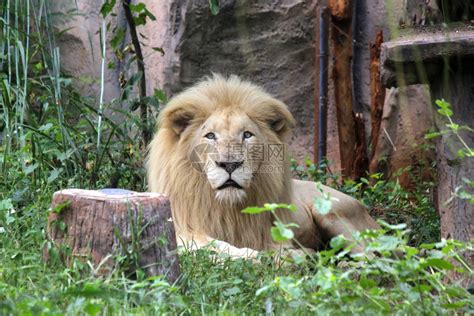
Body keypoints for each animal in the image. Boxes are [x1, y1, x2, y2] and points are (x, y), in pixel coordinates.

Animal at [146, 75, 380, 258]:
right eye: (210, 136)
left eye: (247, 135)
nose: (230, 164)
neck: (225, 207)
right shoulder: (179, 228)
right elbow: (207, 243)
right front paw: (248, 255)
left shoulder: (271, 234)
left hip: (334, 213)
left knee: (372, 256)